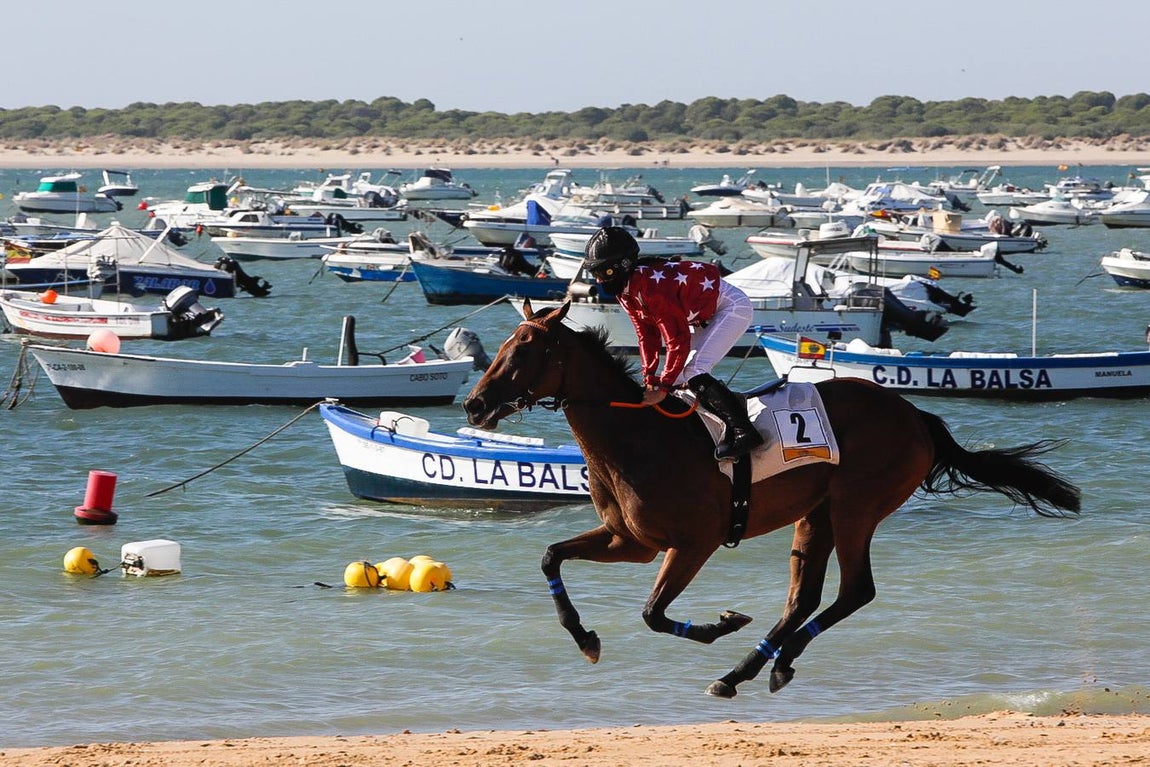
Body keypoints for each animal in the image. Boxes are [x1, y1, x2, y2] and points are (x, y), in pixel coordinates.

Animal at [461, 300, 1081, 697]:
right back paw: (756, 668)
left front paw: (722, 623)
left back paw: (756, 665)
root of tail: (914, 415)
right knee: (804, 599)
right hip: (816, 515)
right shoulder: (630, 541)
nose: (473, 405)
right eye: (504, 345)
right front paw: (585, 638)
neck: (639, 436)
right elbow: (551, 557)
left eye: (526, 349)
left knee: (855, 591)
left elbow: (653, 613)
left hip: (857, 506)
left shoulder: (693, 543)